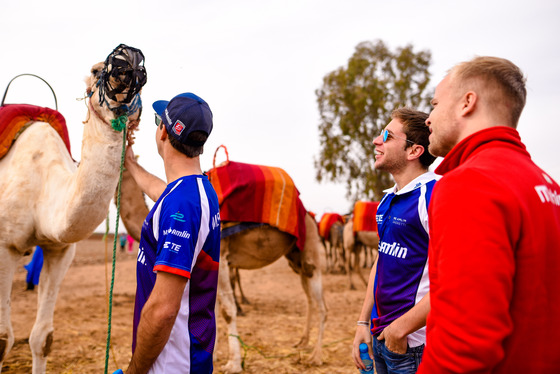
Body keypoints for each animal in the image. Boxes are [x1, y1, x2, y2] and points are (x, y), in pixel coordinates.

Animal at [0, 44, 147, 374]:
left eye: (143, 71)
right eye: (96, 70)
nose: (126, 64)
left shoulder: (60, 249)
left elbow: (43, 338)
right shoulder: (4, 246)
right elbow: (2, 339)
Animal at [117, 168, 328, 372]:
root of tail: (310, 216)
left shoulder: (222, 258)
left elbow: (226, 311)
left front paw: (233, 364)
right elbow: (212, 308)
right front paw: (213, 355)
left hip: (310, 247)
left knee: (322, 305)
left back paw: (315, 357)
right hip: (296, 259)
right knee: (309, 298)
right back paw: (302, 342)